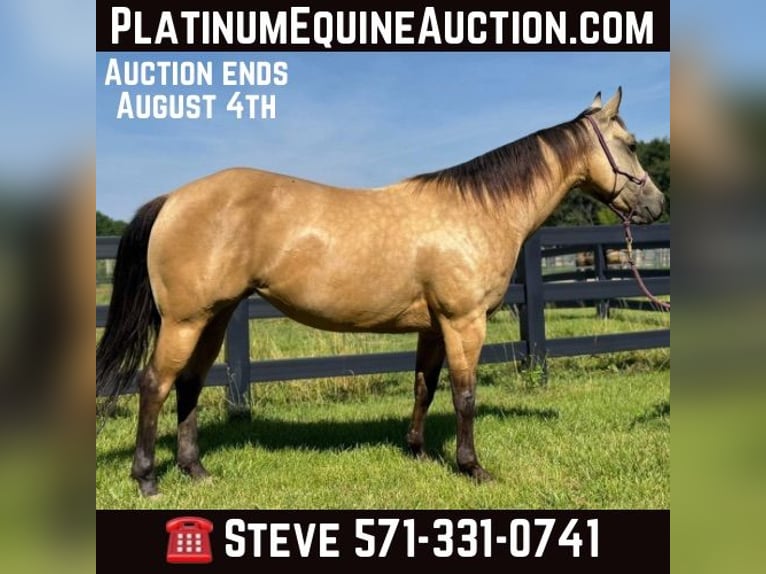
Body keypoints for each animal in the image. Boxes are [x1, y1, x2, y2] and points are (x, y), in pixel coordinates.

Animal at [97, 87, 666, 496]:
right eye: (632, 144)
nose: (656, 205)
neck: (477, 211)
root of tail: (173, 198)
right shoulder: (464, 321)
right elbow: (464, 394)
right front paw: (472, 468)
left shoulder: (434, 327)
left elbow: (424, 387)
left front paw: (417, 451)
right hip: (185, 320)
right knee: (155, 385)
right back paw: (147, 479)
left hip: (212, 318)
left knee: (189, 385)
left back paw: (196, 471)